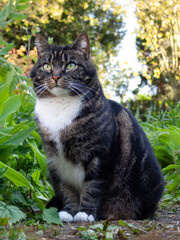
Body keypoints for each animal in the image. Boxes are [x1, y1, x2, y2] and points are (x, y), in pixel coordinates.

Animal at [30, 31, 165, 222]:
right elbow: (66, 188)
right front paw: (68, 211)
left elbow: (93, 186)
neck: (60, 107)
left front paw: (85, 213)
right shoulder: (56, 159)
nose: (55, 76)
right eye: (47, 66)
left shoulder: (100, 155)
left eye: (71, 65)